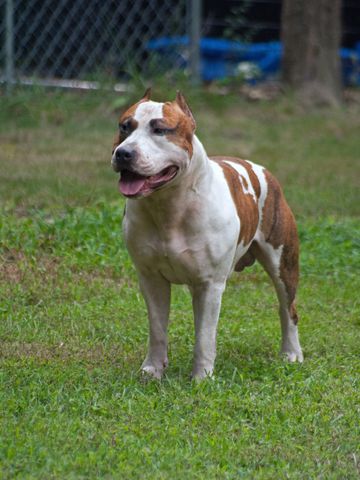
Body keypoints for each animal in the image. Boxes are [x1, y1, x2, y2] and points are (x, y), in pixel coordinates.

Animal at [111, 90, 302, 380]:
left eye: (160, 129)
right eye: (125, 127)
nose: (123, 153)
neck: (169, 206)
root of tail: (261, 169)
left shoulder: (210, 284)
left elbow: (204, 335)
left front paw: (202, 377)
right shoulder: (151, 279)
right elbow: (157, 329)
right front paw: (152, 369)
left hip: (283, 264)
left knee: (287, 308)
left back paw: (291, 352)